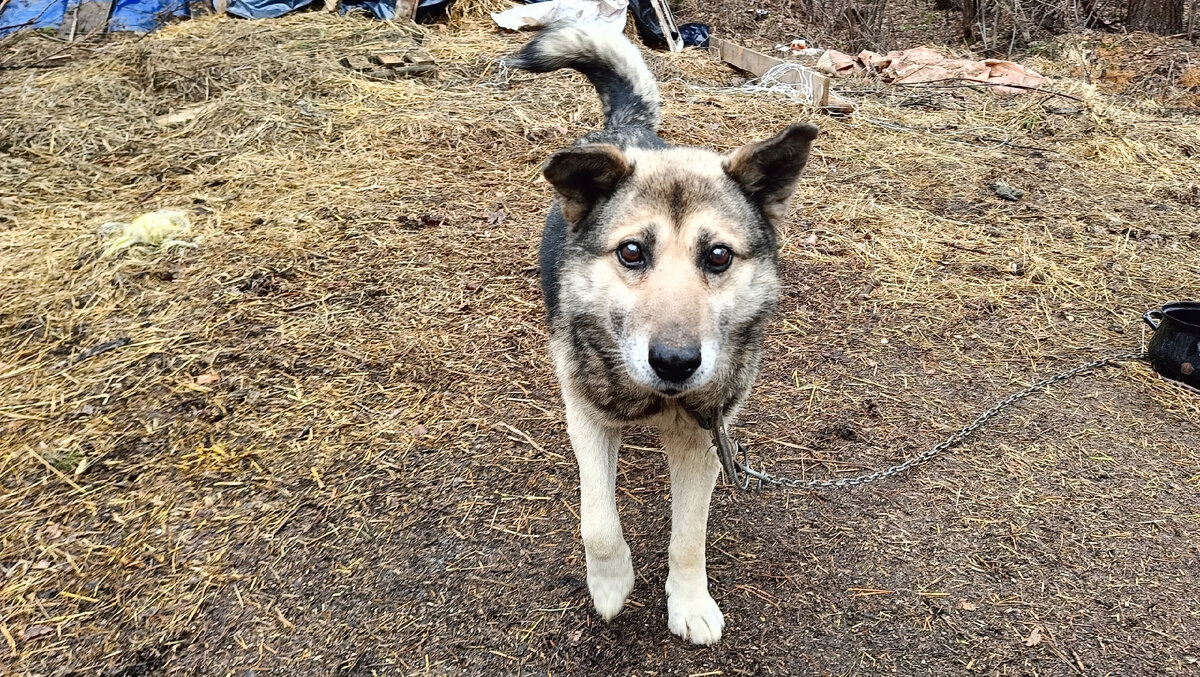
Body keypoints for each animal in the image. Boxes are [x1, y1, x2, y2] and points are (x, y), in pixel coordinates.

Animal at [506, 22, 816, 643]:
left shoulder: (704, 440)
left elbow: (689, 539)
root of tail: (629, 131)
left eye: (718, 256)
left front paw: (690, 602)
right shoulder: (587, 419)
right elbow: (597, 521)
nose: (675, 362)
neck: (655, 400)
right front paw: (610, 583)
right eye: (631, 252)